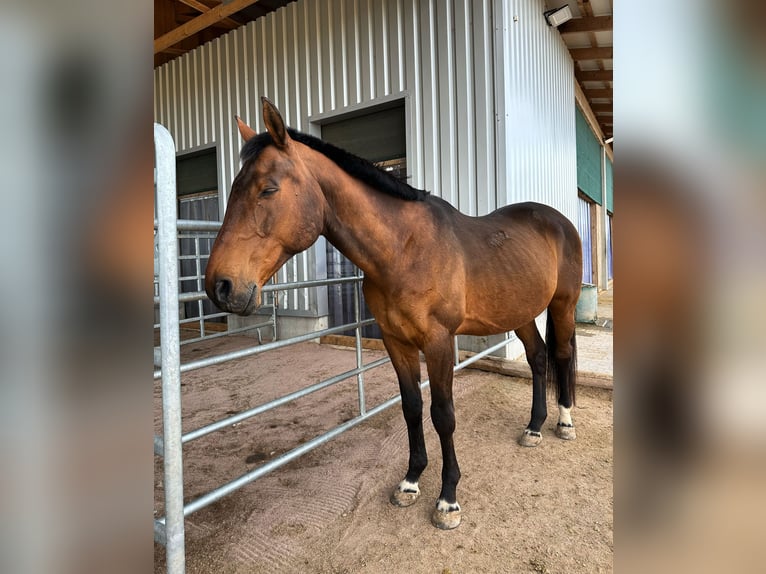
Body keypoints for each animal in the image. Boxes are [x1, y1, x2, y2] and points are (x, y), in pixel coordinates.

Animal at [204, 98, 584, 532]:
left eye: (268, 188)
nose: (220, 285)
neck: (403, 250)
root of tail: (558, 220)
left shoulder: (438, 343)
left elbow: (442, 414)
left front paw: (448, 499)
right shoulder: (395, 341)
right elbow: (411, 407)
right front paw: (411, 481)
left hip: (563, 304)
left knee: (561, 355)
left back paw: (564, 423)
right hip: (519, 311)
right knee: (537, 358)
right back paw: (534, 428)